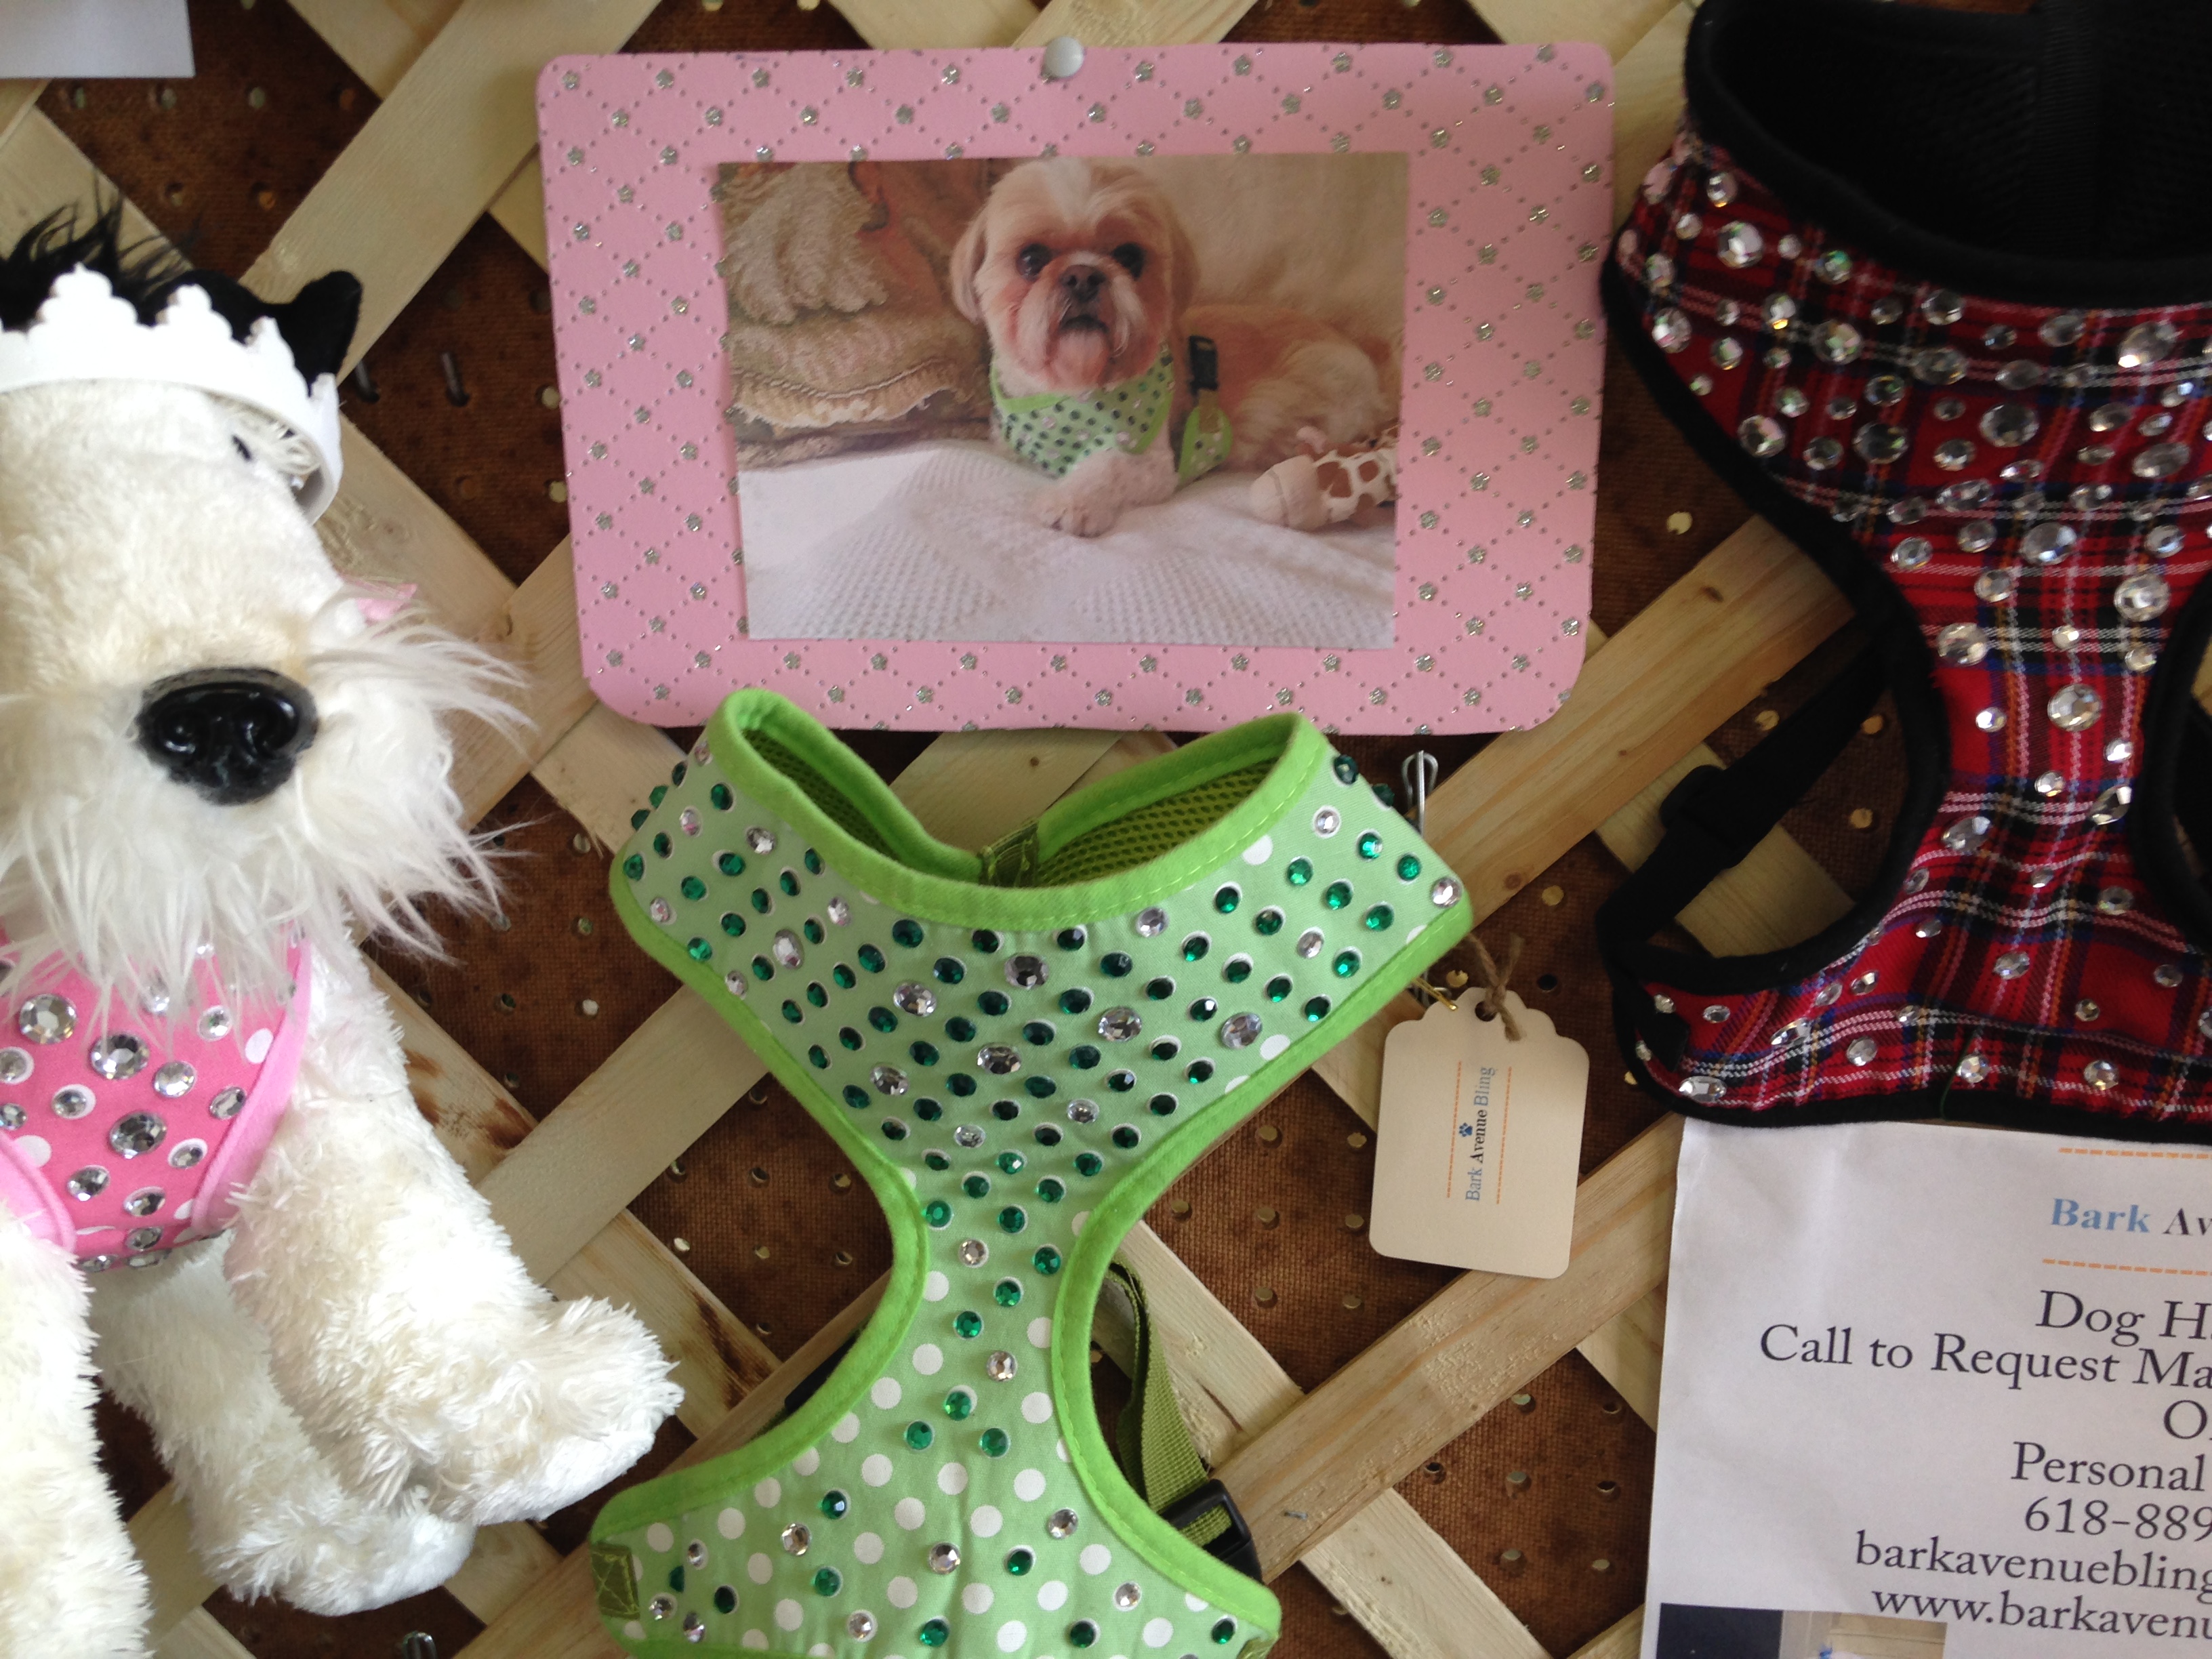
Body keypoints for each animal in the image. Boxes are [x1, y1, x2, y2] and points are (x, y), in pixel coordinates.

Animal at [950, 156, 1397, 536]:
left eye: (1130, 257)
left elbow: (1106, 467)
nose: (1083, 275)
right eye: (1031, 259)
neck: (1073, 388)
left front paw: (1072, 501)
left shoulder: (1151, 465)